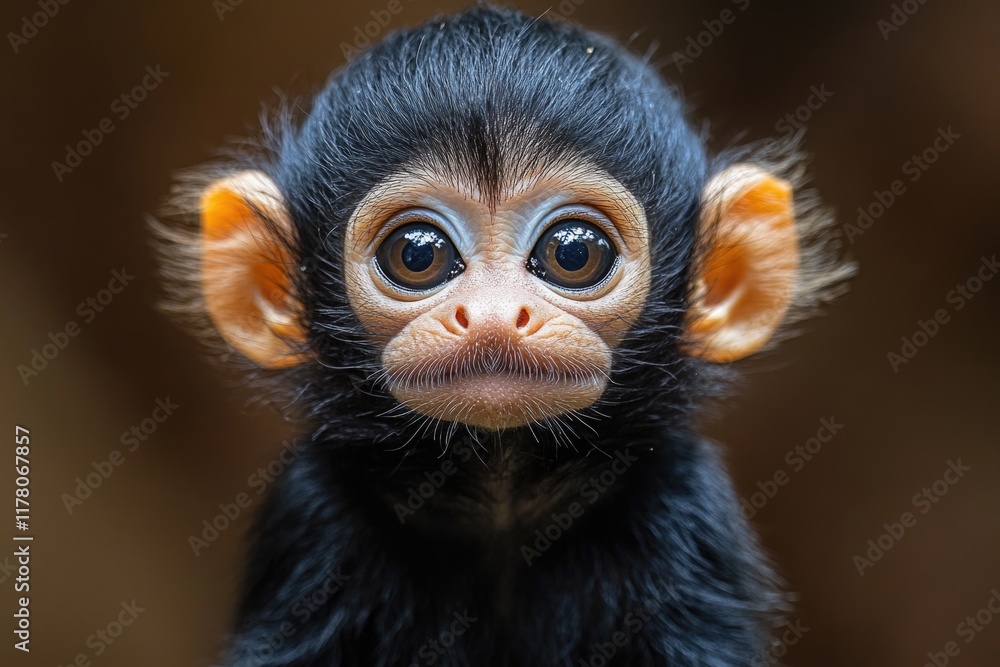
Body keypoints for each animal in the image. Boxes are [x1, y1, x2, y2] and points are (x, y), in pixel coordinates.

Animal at [154, 5, 852, 666]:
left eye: (574, 252)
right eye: (418, 254)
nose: (492, 316)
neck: (502, 498)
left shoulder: (686, 507)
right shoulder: (308, 514)